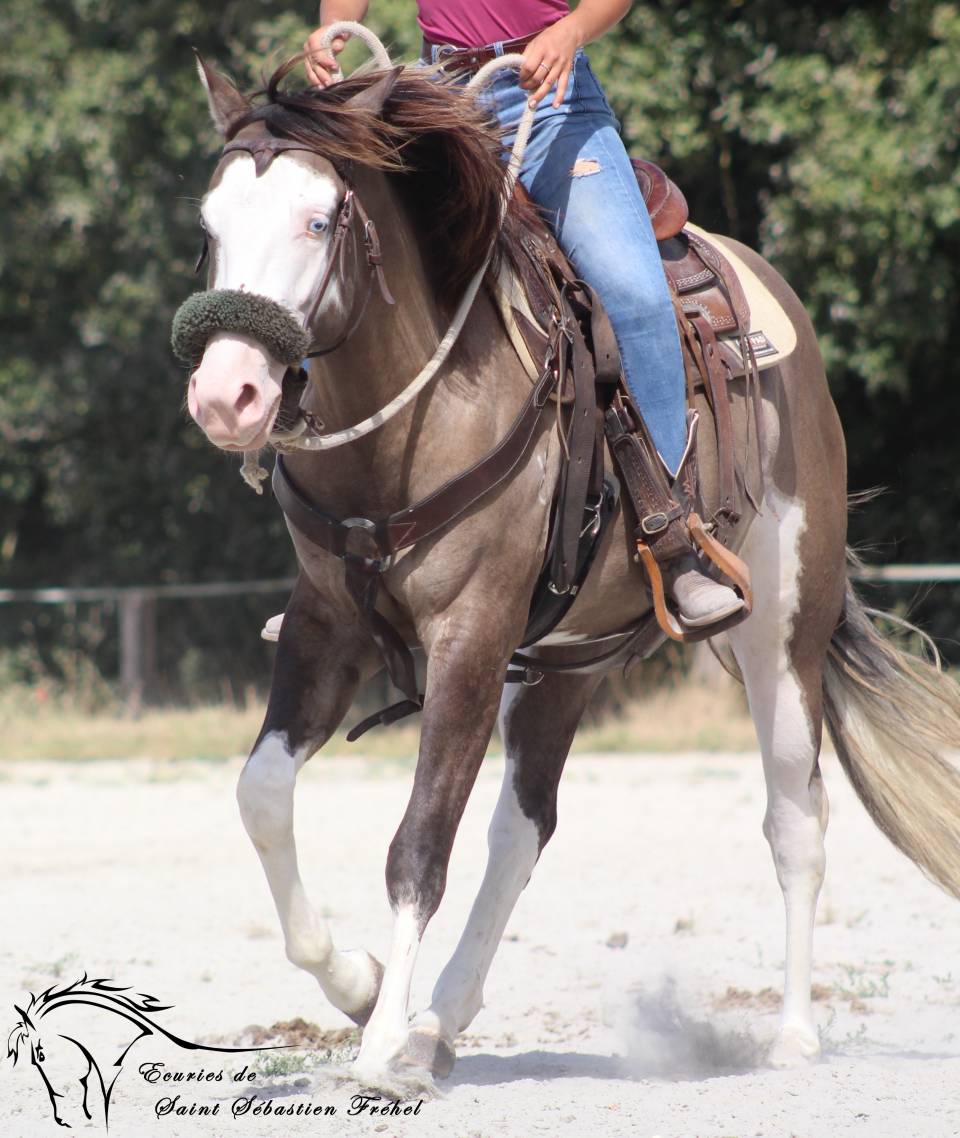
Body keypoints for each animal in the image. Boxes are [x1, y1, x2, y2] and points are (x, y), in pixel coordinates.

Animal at [180, 43, 960, 1091]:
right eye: (211, 226)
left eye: (319, 219)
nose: (228, 393)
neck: (411, 423)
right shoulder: (325, 624)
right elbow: (262, 795)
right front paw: (358, 985)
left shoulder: (470, 638)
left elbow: (419, 842)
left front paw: (378, 1044)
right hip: (566, 657)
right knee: (523, 826)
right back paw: (440, 1022)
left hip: (782, 630)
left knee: (795, 817)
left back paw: (793, 1034)